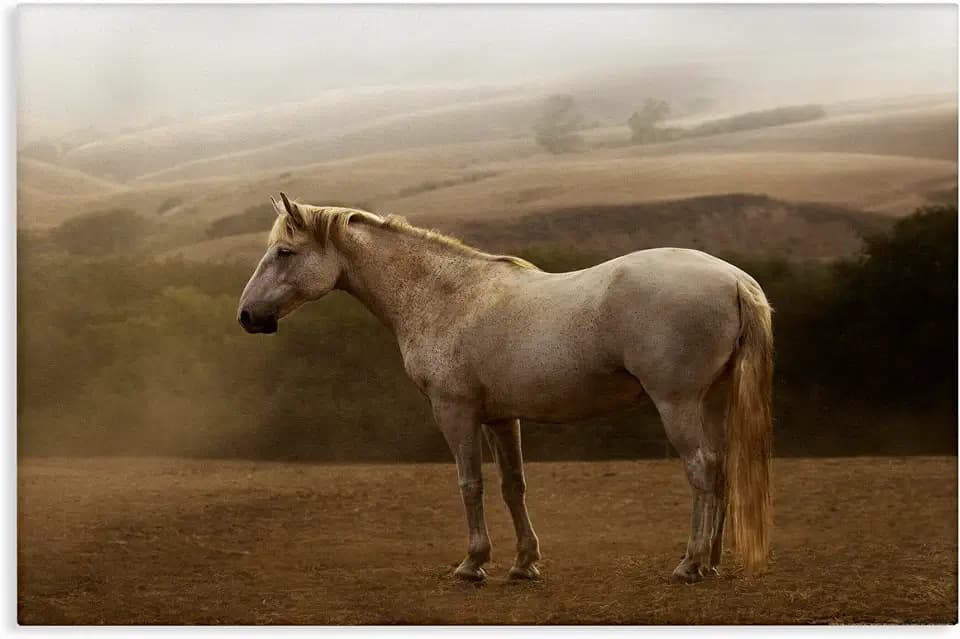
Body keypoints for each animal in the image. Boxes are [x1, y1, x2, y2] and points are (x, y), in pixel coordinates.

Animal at [238, 193, 773, 583]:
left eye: (284, 252)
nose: (247, 316)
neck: (446, 297)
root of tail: (733, 280)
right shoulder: (500, 417)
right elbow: (513, 486)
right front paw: (523, 564)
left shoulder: (455, 412)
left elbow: (470, 484)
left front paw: (473, 564)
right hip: (711, 401)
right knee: (720, 469)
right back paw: (713, 561)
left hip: (677, 404)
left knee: (700, 470)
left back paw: (690, 563)